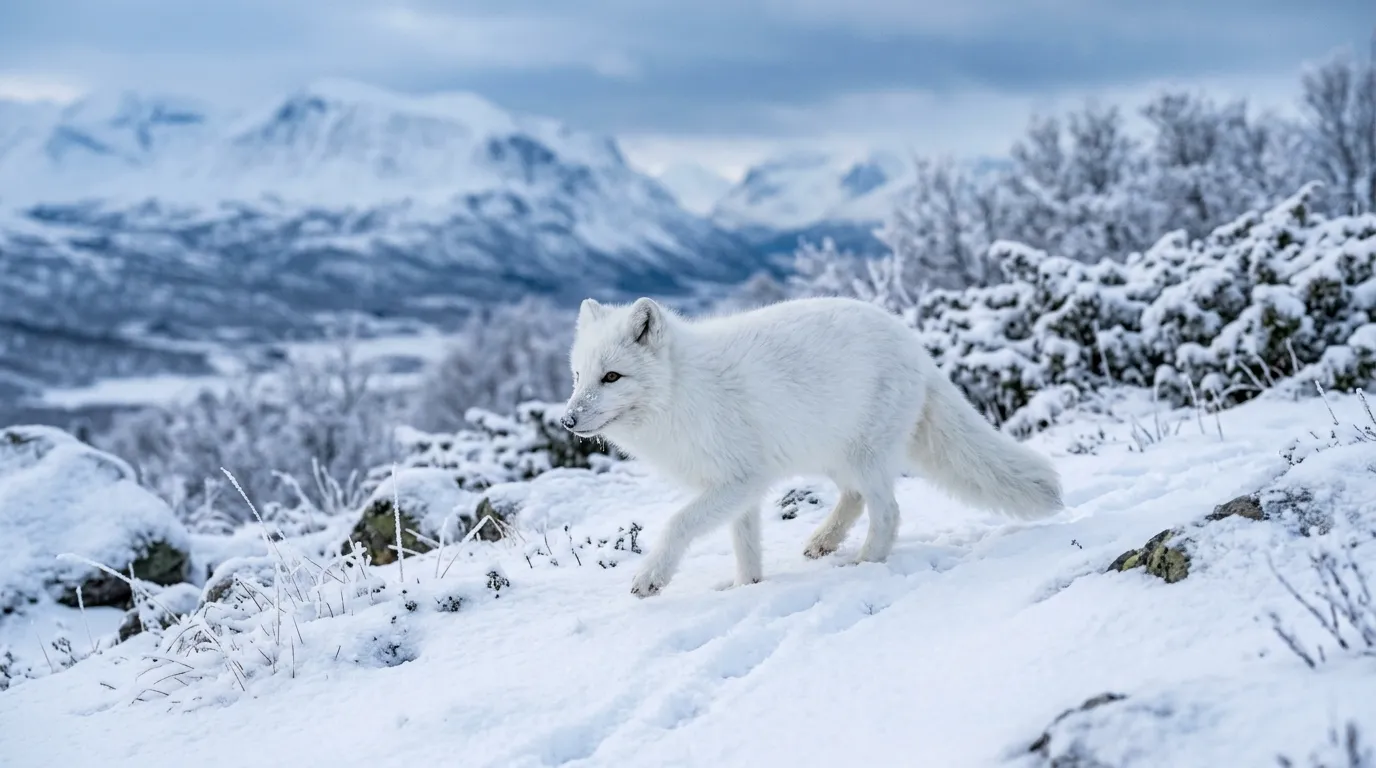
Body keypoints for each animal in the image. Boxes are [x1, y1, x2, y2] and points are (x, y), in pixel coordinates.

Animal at [559, 295, 1064, 598]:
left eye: (612, 377)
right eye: (579, 376)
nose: (567, 420)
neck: (682, 393)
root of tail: (917, 348)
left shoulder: (740, 481)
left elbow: (677, 524)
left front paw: (651, 577)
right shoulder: (739, 490)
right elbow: (746, 547)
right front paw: (747, 587)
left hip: (864, 458)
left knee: (888, 511)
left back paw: (865, 563)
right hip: (834, 457)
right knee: (855, 499)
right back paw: (824, 541)